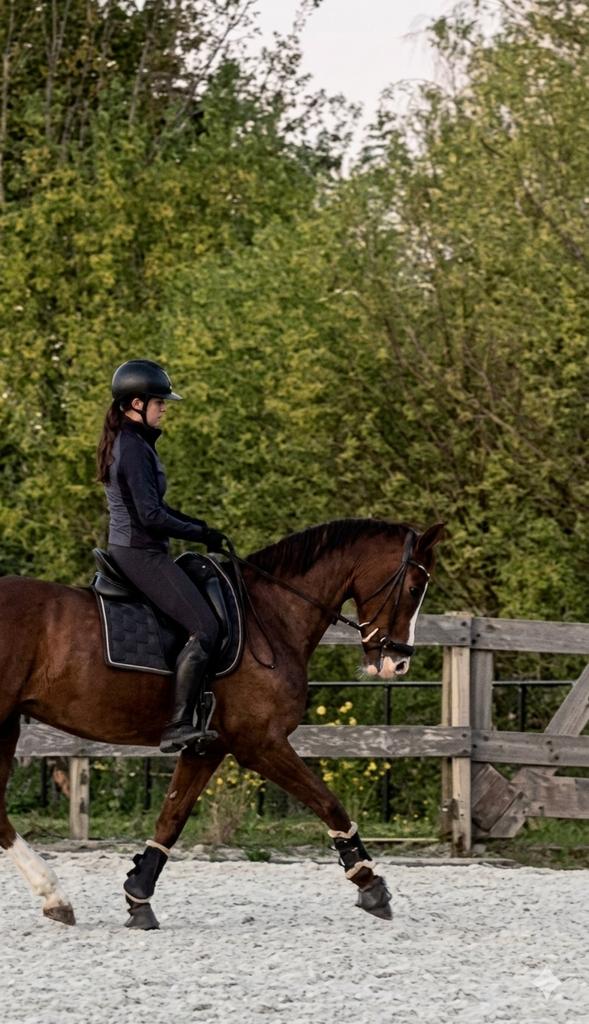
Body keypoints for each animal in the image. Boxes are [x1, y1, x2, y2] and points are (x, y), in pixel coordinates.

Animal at [0, 517, 443, 929]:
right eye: (414, 588)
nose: (398, 663)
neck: (272, 615)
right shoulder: (260, 743)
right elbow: (328, 803)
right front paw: (371, 884)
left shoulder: (207, 747)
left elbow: (171, 818)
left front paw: (138, 897)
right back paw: (53, 893)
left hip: (8, 724)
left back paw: (55, 899)